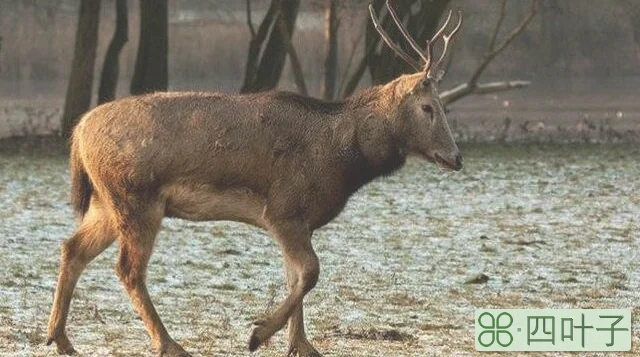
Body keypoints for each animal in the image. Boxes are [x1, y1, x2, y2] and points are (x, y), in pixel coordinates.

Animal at [46, 1, 464, 354]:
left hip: (105, 202)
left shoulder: (298, 220)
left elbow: (295, 276)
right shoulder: (283, 208)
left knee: (72, 248)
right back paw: (167, 344)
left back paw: (60, 338)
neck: (339, 161)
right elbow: (310, 273)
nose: (456, 158)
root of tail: (79, 131)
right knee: (128, 270)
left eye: (443, 106)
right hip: (135, 198)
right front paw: (258, 334)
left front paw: (301, 345)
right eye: (428, 107)